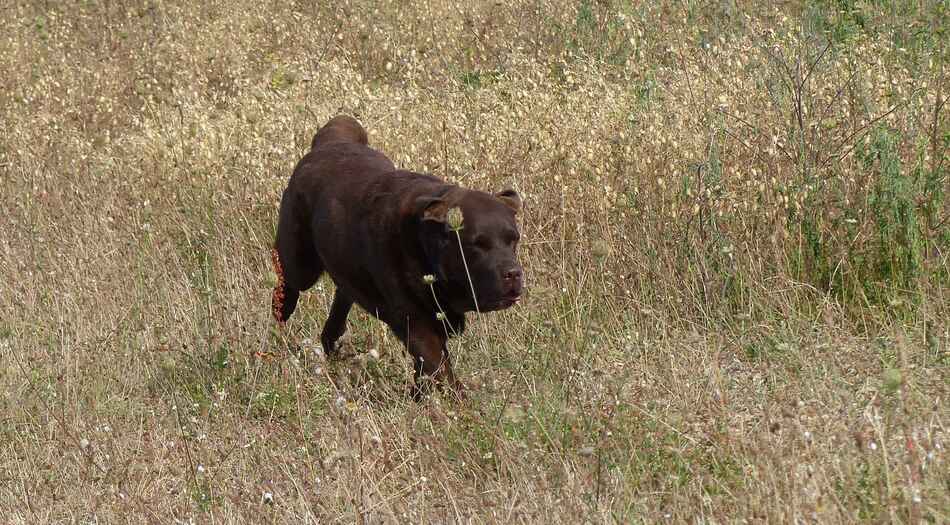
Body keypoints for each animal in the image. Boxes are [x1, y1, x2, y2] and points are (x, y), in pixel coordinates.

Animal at [272, 116, 524, 400]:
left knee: (342, 297)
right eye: (477, 244)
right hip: (300, 263)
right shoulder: (415, 322)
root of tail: (328, 142)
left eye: (513, 239)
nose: (513, 273)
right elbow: (441, 369)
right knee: (287, 286)